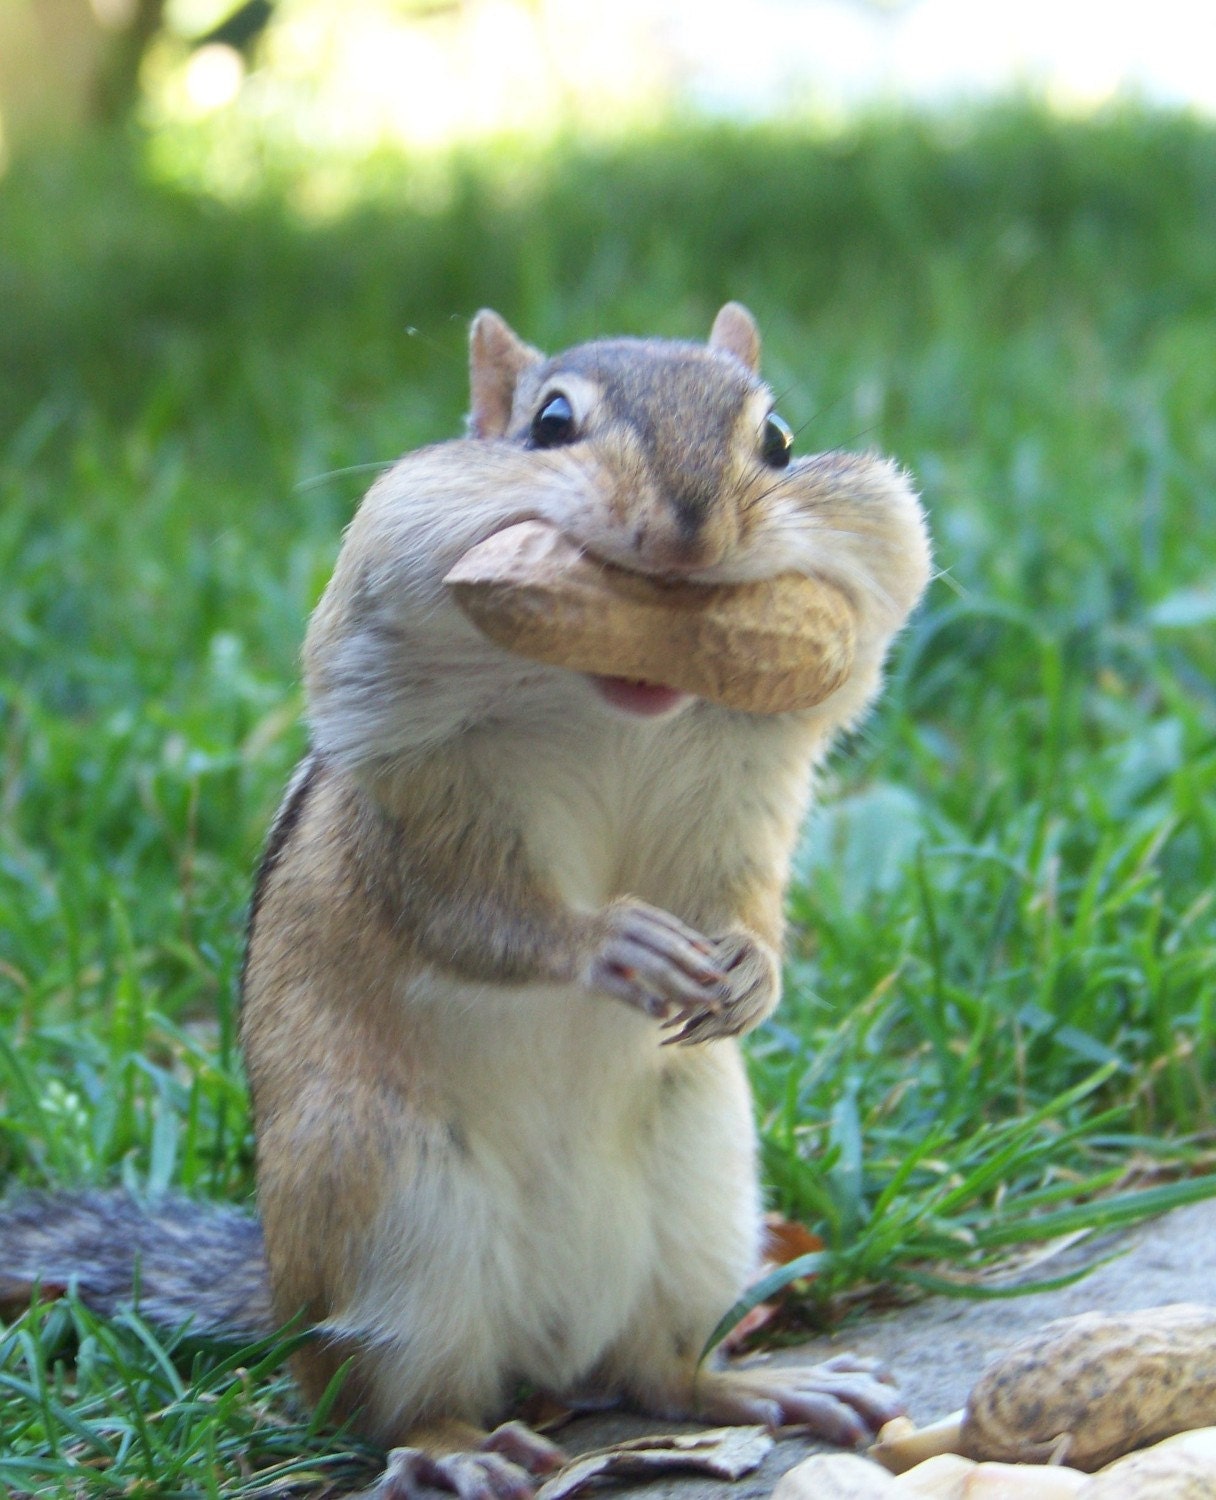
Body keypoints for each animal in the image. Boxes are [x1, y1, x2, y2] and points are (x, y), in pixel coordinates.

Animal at [0, 305, 931, 1500]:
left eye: (777, 441)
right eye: (550, 423)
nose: (687, 539)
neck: (609, 710)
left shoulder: (750, 801)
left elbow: (749, 901)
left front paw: (750, 975)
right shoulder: (419, 815)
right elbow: (471, 916)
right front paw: (611, 943)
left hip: (704, 1202)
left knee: (660, 1372)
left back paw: (764, 1386)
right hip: (396, 1220)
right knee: (390, 1404)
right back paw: (458, 1452)